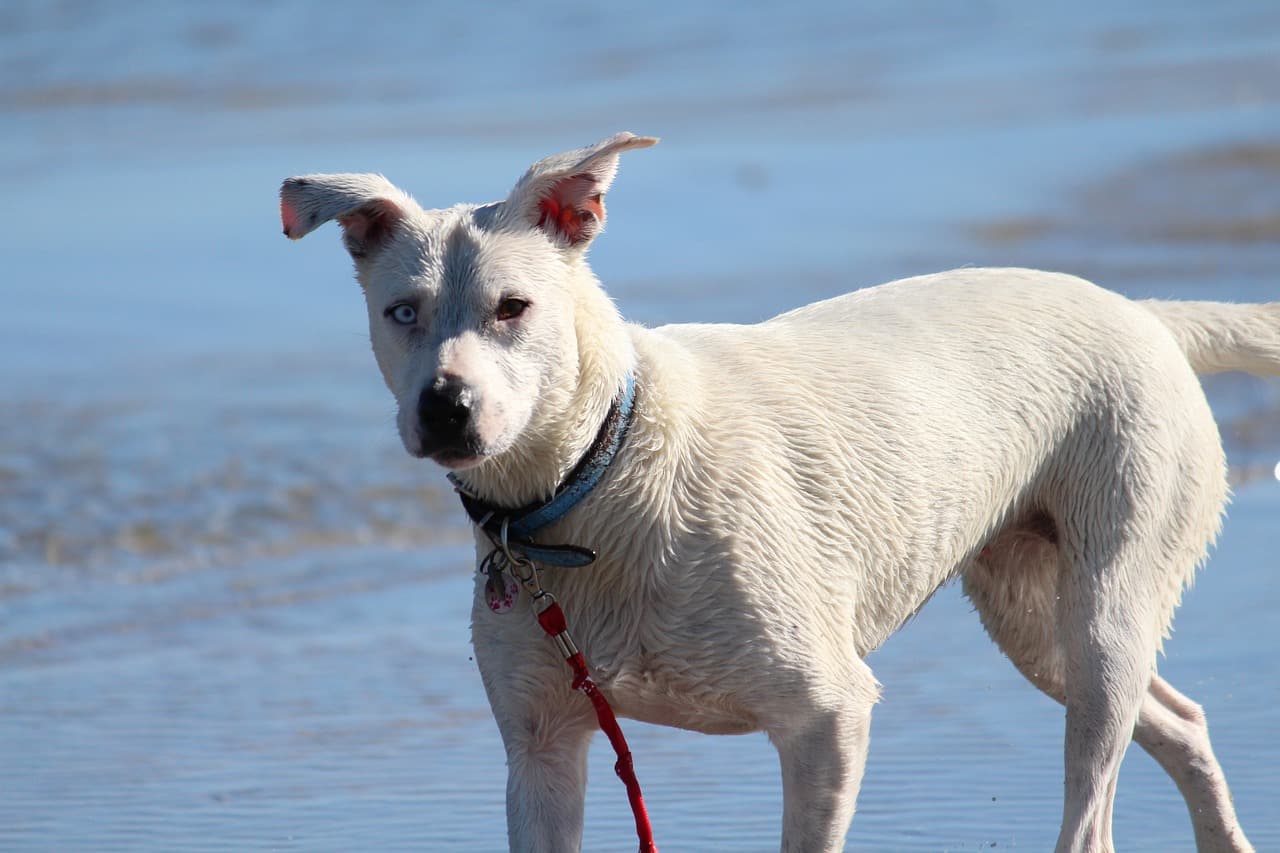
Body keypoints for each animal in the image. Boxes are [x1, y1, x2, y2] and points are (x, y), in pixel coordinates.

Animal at [282, 133, 1280, 850]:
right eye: (400, 312)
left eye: (513, 308)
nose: (444, 408)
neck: (593, 481)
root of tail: (1145, 315)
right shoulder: (542, 750)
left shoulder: (827, 717)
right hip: (1034, 617)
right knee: (1179, 718)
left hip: (1107, 599)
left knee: (1094, 800)